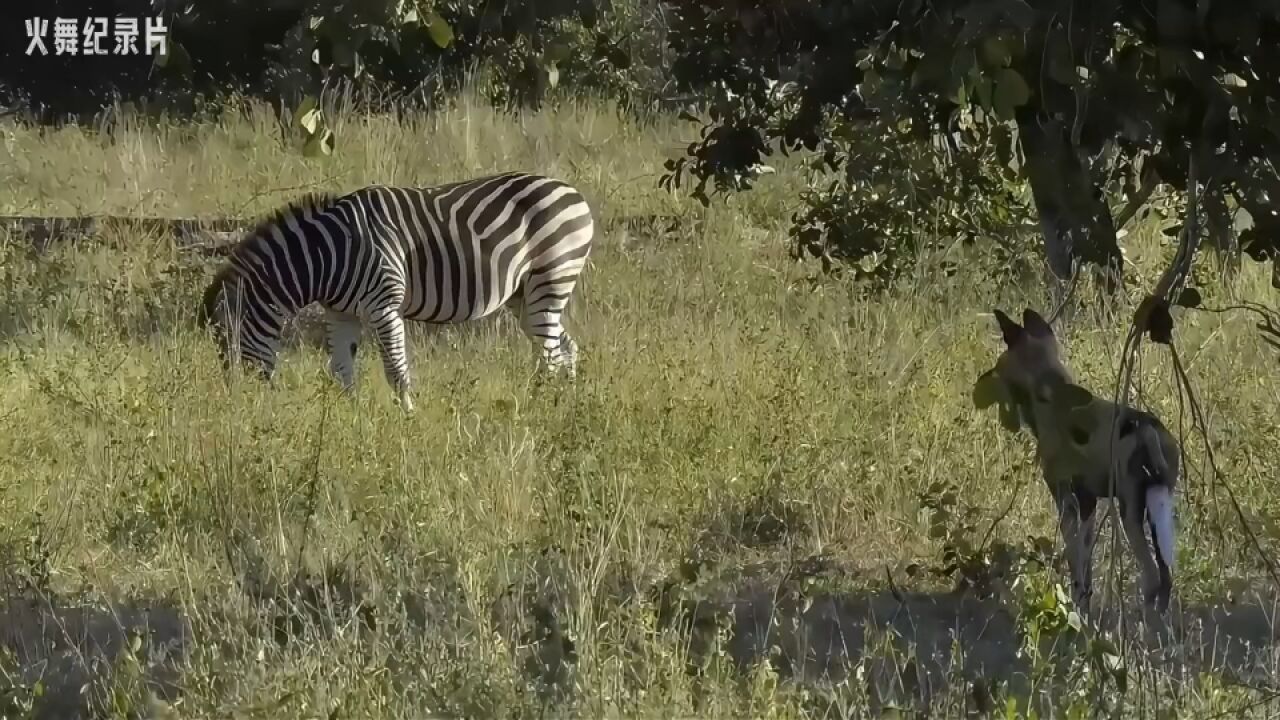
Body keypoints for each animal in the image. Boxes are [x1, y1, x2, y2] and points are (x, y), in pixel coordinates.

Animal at [197, 167, 596, 409]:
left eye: (225, 343)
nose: (239, 405)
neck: (330, 254)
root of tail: (574, 192)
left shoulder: (383, 304)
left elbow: (396, 369)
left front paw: (407, 415)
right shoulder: (341, 313)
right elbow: (341, 369)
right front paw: (349, 419)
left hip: (550, 276)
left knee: (551, 355)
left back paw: (541, 408)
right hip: (525, 296)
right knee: (566, 346)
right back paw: (565, 403)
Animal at [988, 304, 1177, 614]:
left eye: (999, 364)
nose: (989, 375)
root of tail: (1148, 428)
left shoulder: (1065, 497)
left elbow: (1072, 554)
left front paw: (1075, 604)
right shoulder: (1089, 502)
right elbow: (1085, 558)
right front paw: (1084, 602)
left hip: (1129, 511)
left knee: (1151, 576)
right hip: (1156, 508)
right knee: (1166, 578)